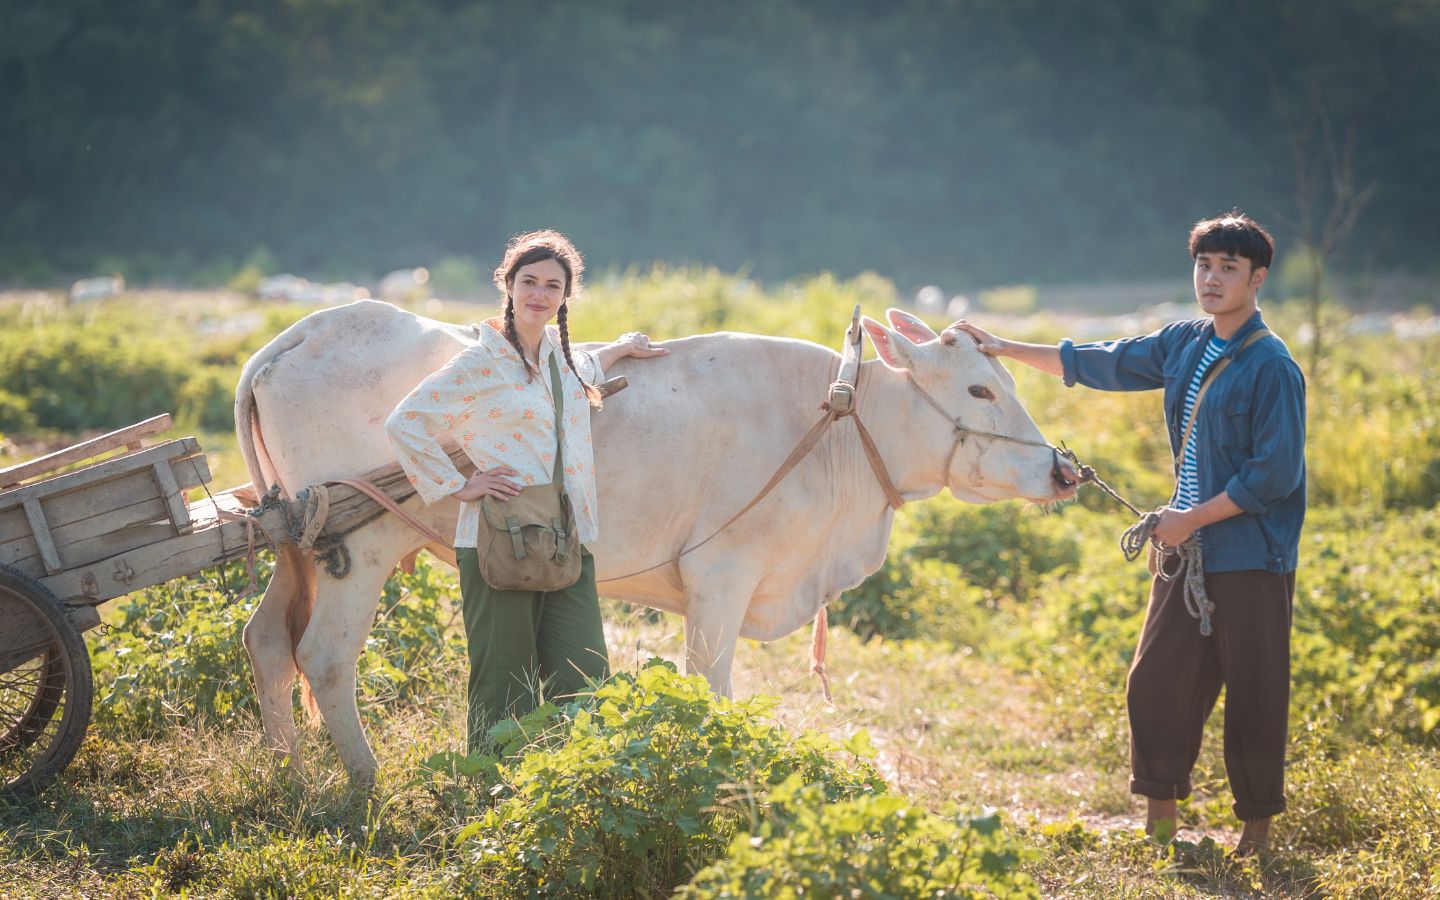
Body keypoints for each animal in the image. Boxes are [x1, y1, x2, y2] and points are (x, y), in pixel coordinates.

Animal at [233, 299, 1071, 777]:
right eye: (980, 389)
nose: (1063, 469)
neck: (836, 422)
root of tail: (289, 339)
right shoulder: (721, 578)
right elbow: (712, 688)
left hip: (296, 547)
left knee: (266, 641)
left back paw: (288, 773)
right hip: (358, 549)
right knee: (324, 658)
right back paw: (364, 783)